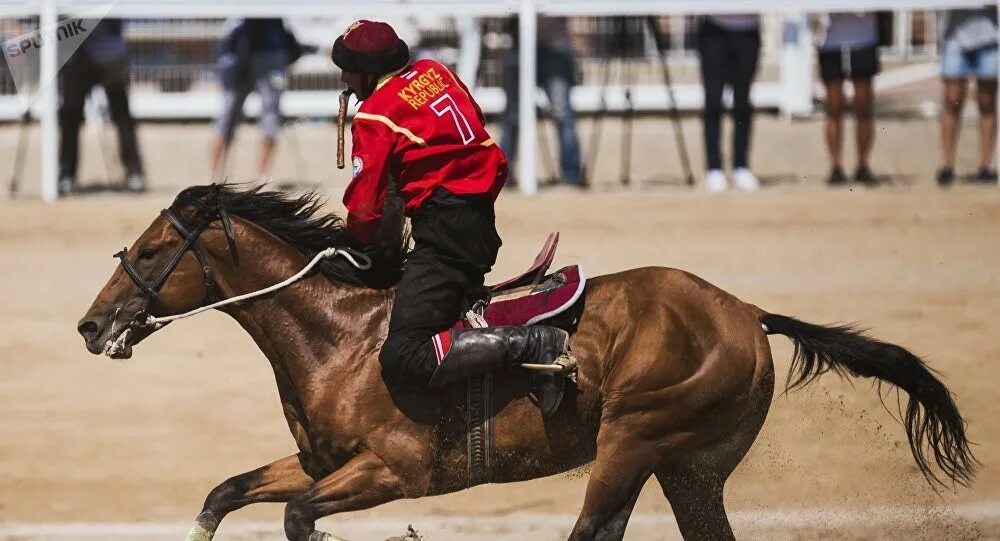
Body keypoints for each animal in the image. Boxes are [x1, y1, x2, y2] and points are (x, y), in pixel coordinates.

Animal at [80, 186, 976, 540]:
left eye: (153, 250)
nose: (92, 325)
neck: (340, 336)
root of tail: (747, 312)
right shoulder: (321, 461)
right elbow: (226, 491)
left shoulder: (394, 471)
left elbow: (299, 516)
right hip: (688, 467)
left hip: (632, 443)